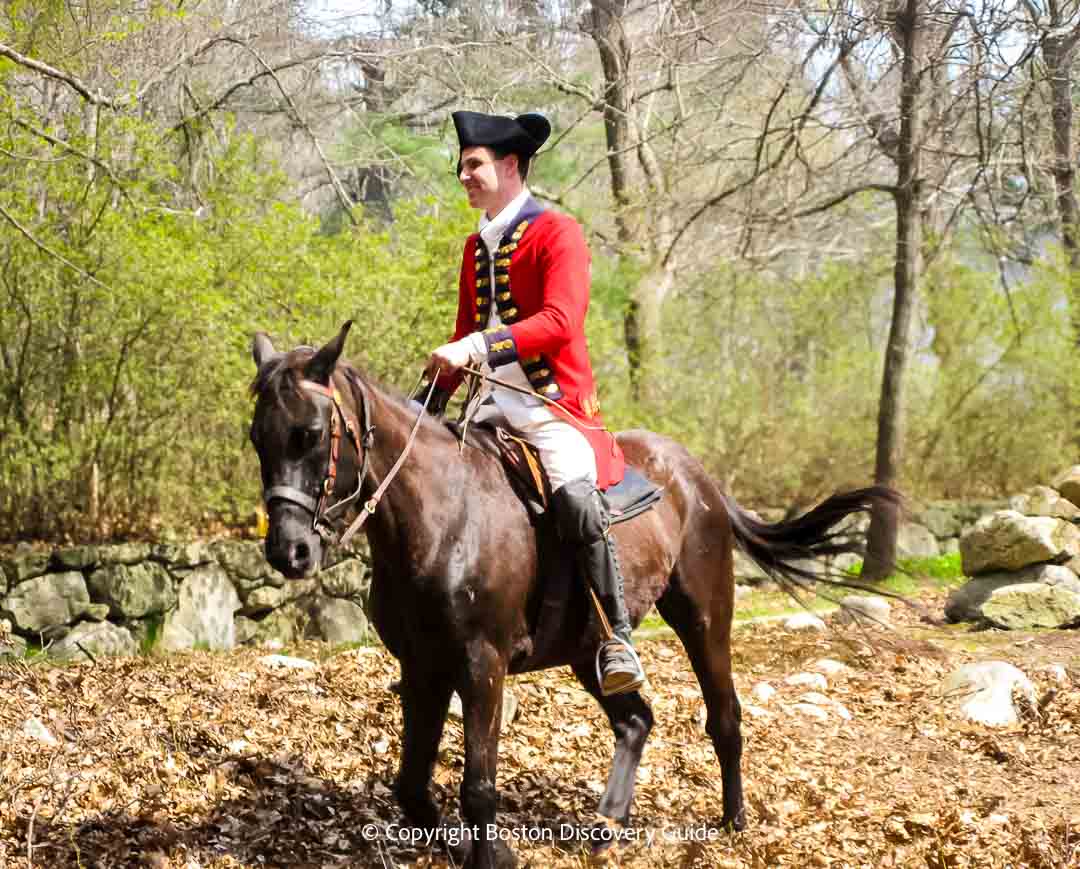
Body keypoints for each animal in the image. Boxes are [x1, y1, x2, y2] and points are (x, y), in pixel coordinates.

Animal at [250, 321, 894, 863]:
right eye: (258, 439)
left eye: (310, 434)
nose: (288, 552)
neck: (441, 515)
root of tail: (697, 474)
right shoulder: (423, 665)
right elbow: (411, 786)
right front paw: (475, 849)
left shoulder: (480, 664)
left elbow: (478, 787)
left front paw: (491, 855)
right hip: (589, 646)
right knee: (635, 720)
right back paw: (609, 824)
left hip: (704, 619)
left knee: (724, 717)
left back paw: (733, 823)